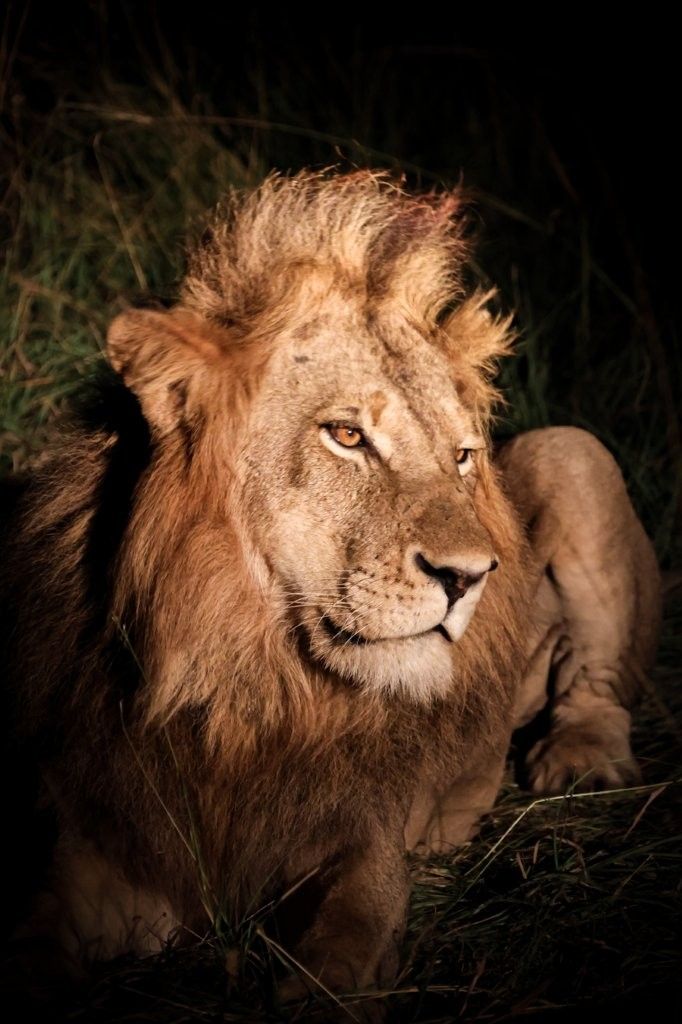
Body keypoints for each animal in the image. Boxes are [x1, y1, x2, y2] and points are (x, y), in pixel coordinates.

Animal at [0, 171, 661, 1015]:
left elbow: (344, 948)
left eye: (462, 456)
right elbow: (32, 937)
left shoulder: (366, 841)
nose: (469, 577)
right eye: (346, 436)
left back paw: (580, 760)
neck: (251, 682)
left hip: (576, 452)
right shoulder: (107, 841)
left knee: (598, 683)